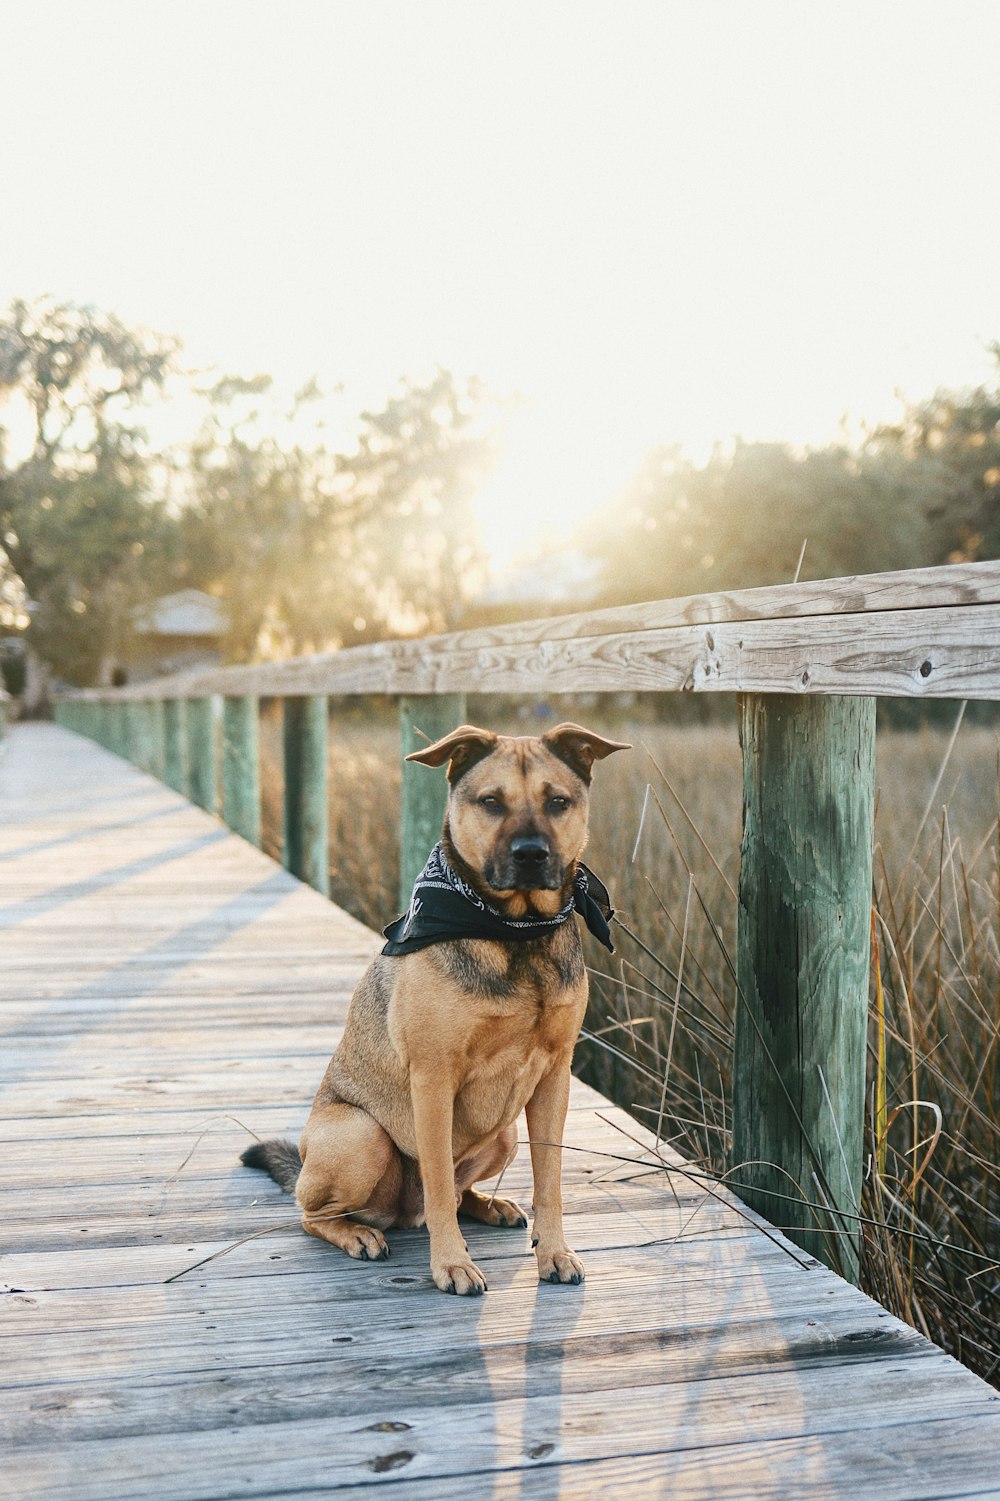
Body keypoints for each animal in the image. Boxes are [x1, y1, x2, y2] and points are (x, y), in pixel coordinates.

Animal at [241, 720, 627, 1296]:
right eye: (491, 802)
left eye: (558, 802)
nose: (531, 854)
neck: (515, 932)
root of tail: (401, 1214)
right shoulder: (434, 1077)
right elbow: (440, 1182)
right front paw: (451, 1264)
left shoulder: (555, 1075)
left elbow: (550, 1179)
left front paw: (554, 1252)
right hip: (361, 1138)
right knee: (315, 1214)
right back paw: (358, 1234)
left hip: (505, 1135)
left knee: (458, 1193)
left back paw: (490, 1205)